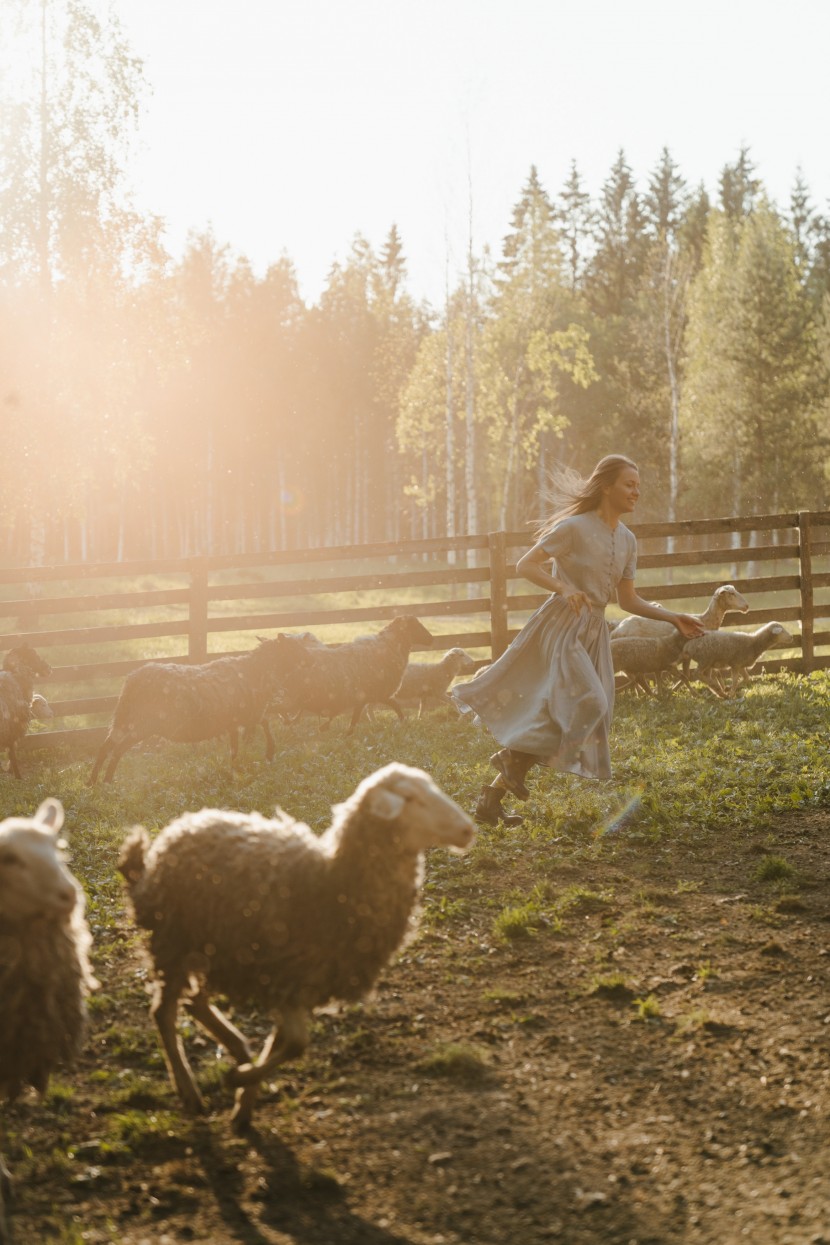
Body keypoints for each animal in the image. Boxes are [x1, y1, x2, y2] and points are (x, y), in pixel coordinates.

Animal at [89, 637, 313, 781]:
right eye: (294, 647)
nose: (311, 659)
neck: (258, 670)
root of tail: (132, 680)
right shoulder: (249, 712)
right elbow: (265, 723)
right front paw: (269, 752)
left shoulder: (235, 719)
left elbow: (235, 746)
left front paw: (235, 767)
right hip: (143, 723)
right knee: (117, 749)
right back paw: (108, 779)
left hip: (125, 718)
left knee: (105, 746)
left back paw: (93, 782)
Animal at [120, 761, 477, 1135]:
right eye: (410, 799)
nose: (468, 830)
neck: (331, 883)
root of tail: (181, 826)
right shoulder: (285, 976)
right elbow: (296, 1044)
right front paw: (237, 1080)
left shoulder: (299, 983)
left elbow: (283, 1044)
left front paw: (244, 1101)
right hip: (173, 941)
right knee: (165, 1012)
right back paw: (190, 1089)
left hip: (213, 949)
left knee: (196, 1003)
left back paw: (237, 1048)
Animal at [277, 617, 435, 732]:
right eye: (417, 626)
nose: (432, 639)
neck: (389, 646)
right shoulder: (375, 693)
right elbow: (393, 706)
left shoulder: (369, 695)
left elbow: (359, 716)